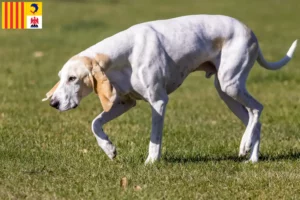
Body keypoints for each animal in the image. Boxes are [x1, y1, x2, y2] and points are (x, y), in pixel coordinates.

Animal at [42, 14, 298, 163]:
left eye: (73, 78)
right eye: (61, 78)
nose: (53, 103)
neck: (124, 56)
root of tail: (250, 31)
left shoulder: (158, 102)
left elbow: (154, 138)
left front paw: (151, 163)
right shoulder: (125, 103)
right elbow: (95, 123)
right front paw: (109, 149)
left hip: (231, 84)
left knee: (258, 109)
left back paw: (245, 147)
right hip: (226, 93)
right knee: (255, 120)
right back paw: (251, 157)